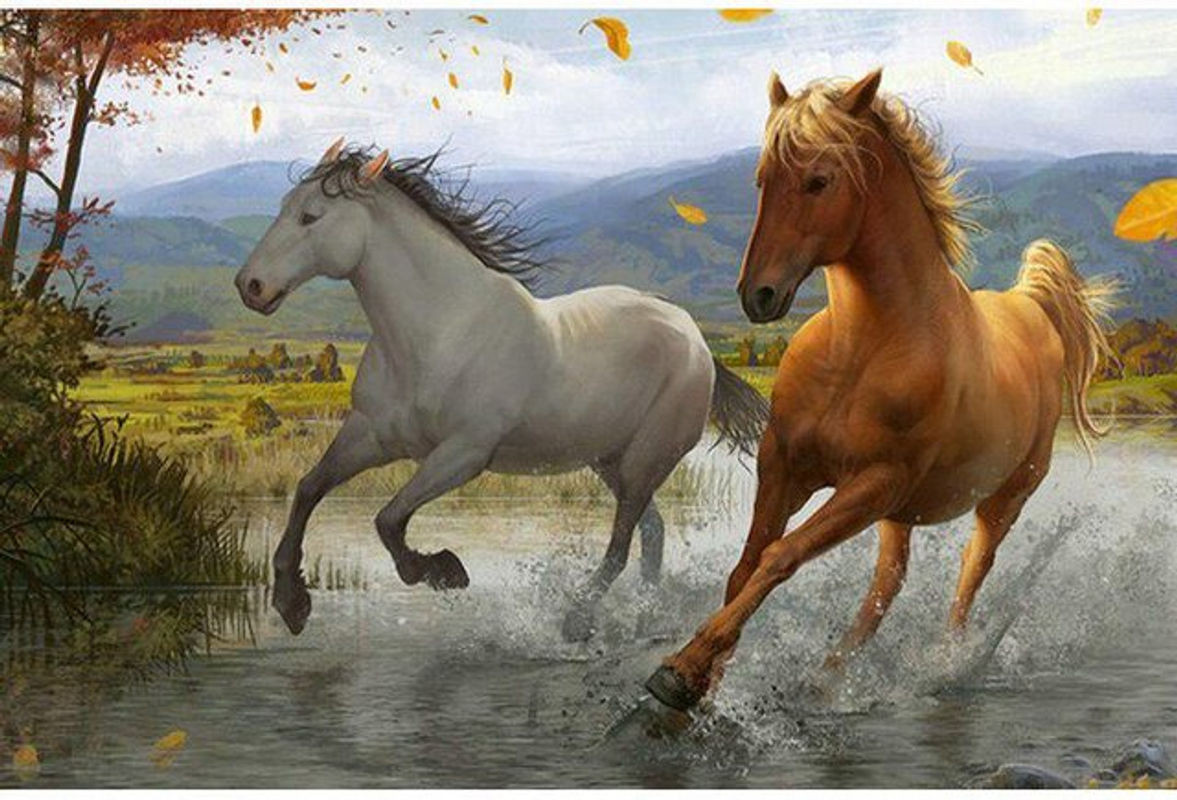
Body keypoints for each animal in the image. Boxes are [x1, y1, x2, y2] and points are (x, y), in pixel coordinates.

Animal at [234, 140, 768, 640]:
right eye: (284, 206)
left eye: (310, 217)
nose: (250, 286)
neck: (438, 331)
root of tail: (694, 335)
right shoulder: (372, 436)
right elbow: (310, 488)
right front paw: (291, 602)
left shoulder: (464, 453)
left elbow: (389, 519)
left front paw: (444, 570)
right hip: (610, 459)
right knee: (652, 533)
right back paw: (643, 620)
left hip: (645, 460)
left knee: (621, 545)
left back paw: (578, 620)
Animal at [645, 68, 1115, 711]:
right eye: (762, 179)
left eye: (819, 180)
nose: (758, 296)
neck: (859, 354)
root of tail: (1030, 307)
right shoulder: (785, 464)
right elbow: (746, 567)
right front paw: (701, 680)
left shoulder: (873, 482)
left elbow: (780, 557)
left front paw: (683, 673)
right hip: (902, 515)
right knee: (886, 586)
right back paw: (826, 679)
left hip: (1000, 499)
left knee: (969, 575)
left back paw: (941, 667)